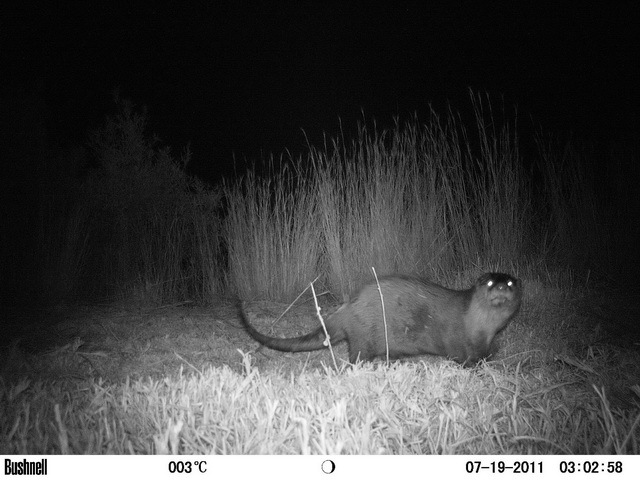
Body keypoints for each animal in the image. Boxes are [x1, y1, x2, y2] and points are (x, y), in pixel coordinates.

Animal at [238, 274, 524, 364]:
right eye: (489, 282)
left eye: (510, 282)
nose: (501, 287)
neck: (480, 327)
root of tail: (348, 308)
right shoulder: (458, 340)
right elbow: (466, 358)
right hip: (364, 337)